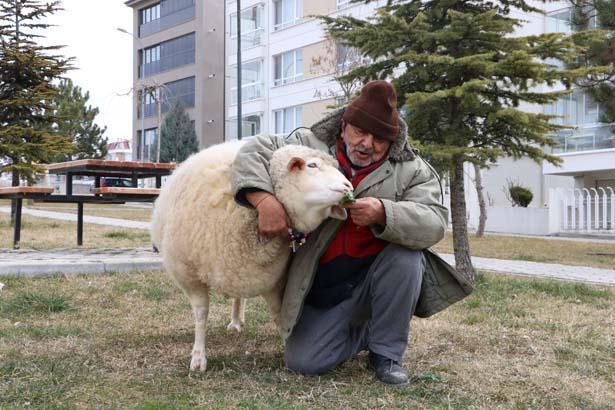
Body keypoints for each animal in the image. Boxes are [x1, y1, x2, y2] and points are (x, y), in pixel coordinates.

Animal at [151, 141, 354, 372]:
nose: (349, 186)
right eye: (312, 165)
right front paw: (198, 357)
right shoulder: (188, 275)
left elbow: (279, 314)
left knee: (239, 296)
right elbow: (201, 314)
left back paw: (237, 320)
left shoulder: (274, 280)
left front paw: (286, 344)